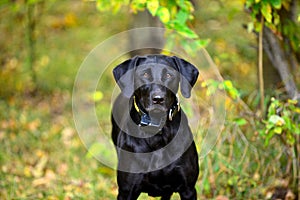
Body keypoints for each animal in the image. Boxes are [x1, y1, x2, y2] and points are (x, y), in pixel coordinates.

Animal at [111, 54, 198, 200]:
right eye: (144, 74)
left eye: (169, 75)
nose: (158, 99)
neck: (158, 132)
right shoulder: (127, 191)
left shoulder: (188, 189)